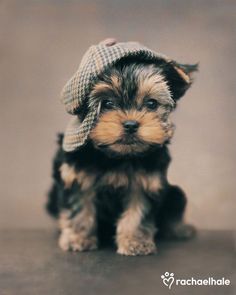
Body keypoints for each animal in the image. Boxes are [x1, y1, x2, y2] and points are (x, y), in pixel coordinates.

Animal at [46, 40, 197, 256]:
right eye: (107, 103)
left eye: (152, 103)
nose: (131, 124)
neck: (115, 156)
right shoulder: (76, 176)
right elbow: (79, 207)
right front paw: (78, 239)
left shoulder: (146, 181)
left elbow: (137, 212)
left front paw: (135, 241)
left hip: (175, 193)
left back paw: (180, 228)